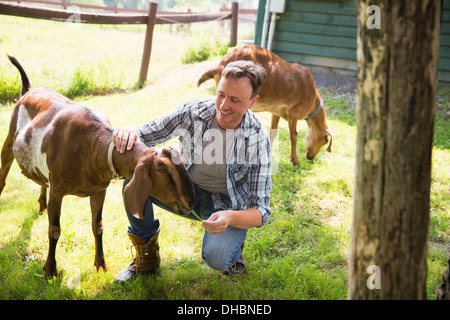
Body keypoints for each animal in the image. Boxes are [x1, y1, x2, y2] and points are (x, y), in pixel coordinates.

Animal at [1, 56, 195, 278]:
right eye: (162, 169)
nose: (190, 203)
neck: (89, 146)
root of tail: (28, 89)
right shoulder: (57, 190)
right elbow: (54, 229)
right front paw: (50, 270)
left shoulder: (99, 190)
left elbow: (98, 226)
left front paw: (101, 264)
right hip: (9, 140)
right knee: (3, 177)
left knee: (42, 181)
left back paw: (42, 203)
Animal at [199, 45, 332, 165]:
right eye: (324, 141)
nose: (310, 157)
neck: (312, 98)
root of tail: (221, 65)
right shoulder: (293, 112)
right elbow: (294, 136)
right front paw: (295, 160)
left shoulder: (276, 111)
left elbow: (273, 132)